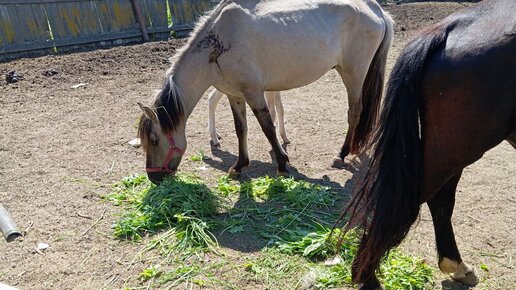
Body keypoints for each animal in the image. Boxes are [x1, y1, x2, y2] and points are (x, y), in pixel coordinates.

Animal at [135, 0, 394, 184]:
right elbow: (241, 129)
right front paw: (239, 165)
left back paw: (342, 154)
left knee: (355, 112)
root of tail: (375, 8)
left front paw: (282, 164)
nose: (153, 177)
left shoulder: (254, 93)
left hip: (353, 74)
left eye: (155, 140)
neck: (218, 43)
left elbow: (267, 127)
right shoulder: (235, 96)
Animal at [342, 1, 516, 288]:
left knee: (439, 200)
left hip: (449, 147)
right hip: (457, 148)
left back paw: (456, 266)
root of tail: (448, 28)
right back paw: (368, 277)